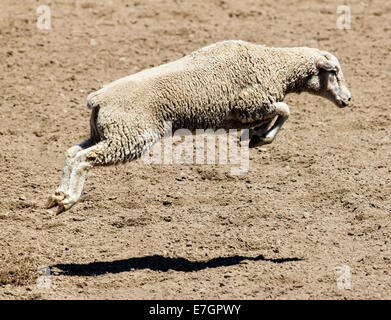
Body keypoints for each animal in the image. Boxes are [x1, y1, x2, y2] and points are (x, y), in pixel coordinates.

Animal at [46, 40, 352, 215]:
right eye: (334, 72)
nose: (349, 99)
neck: (277, 66)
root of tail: (98, 98)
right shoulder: (249, 104)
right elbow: (285, 110)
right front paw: (263, 138)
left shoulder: (243, 114)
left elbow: (276, 115)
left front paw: (256, 136)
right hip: (129, 137)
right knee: (85, 160)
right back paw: (69, 199)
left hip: (105, 133)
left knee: (72, 152)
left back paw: (58, 196)